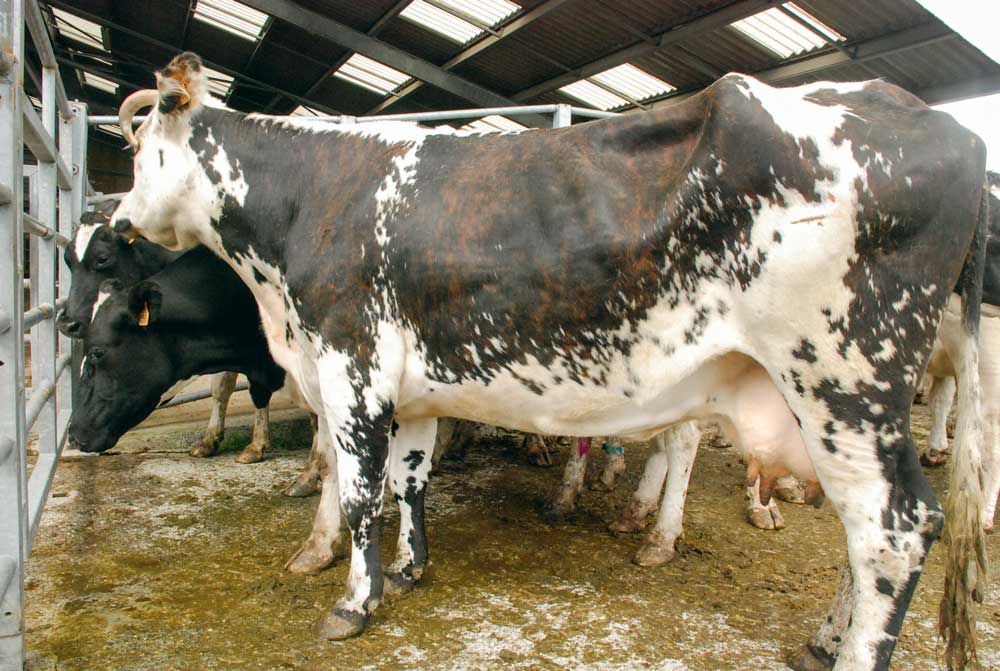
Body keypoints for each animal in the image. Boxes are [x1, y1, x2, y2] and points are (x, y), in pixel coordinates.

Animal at [60, 210, 269, 463]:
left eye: (102, 258)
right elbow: (221, 387)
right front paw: (209, 439)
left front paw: (257, 444)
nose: (67, 322)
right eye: (67, 260)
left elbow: (259, 389)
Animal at [109, 53, 989, 670]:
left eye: (142, 147)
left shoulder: (352, 368)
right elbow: (410, 481)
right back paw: (824, 636)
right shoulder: (414, 391)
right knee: (864, 533)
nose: (117, 219)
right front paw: (411, 570)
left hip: (844, 379)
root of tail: (946, 125)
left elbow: (360, 495)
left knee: (895, 527)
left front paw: (356, 602)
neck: (305, 207)